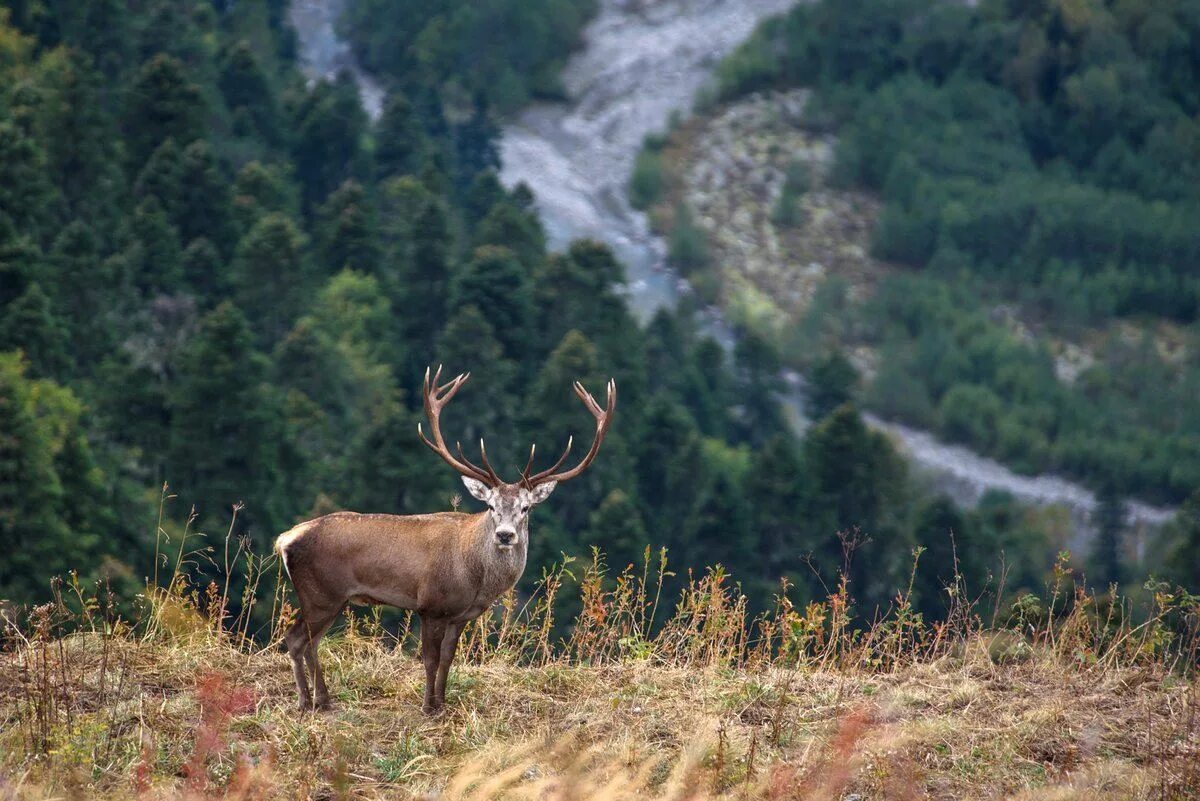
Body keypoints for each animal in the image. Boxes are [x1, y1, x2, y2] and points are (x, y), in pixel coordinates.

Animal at [274, 366, 614, 709]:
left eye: (526, 507)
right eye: (490, 505)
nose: (505, 535)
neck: (474, 576)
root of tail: (285, 539)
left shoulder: (460, 614)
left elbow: (449, 659)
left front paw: (441, 703)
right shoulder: (431, 605)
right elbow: (430, 659)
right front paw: (427, 706)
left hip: (330, 598)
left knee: (306, 641)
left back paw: (317, 699)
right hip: (322, 593)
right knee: (297, 639)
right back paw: (311, 700)